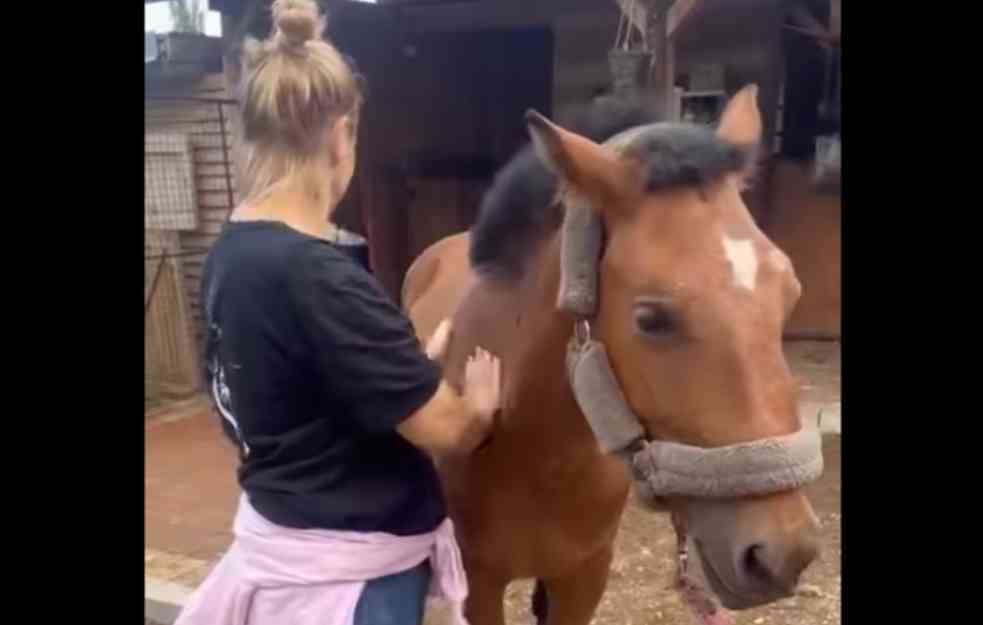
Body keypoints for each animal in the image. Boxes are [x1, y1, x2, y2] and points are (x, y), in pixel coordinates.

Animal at [404, 84, 828, 624]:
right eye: (650, 318)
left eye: (789, 295)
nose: (782, 553)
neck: (532, 446)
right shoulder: (480, 583)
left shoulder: (583, 578)